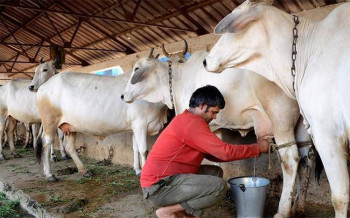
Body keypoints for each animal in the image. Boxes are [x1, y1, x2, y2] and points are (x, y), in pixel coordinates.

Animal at [30, 67, 168, 181]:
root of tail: (43, 86)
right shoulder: (140, 124)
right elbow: (143, 150)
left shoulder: (134, 126)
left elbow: (135, 148)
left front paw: (138, 170)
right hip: (49, 122)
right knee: (46, 143)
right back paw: (49, 174)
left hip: (70, 126)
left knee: (69, 146)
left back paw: (84, 170)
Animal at [204, 0, 350, 217]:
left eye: (229, 31)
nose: (205, 61)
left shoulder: (327, 134)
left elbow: (340, 197)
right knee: (304, 160)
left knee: (291, 158)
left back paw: (283, 210)